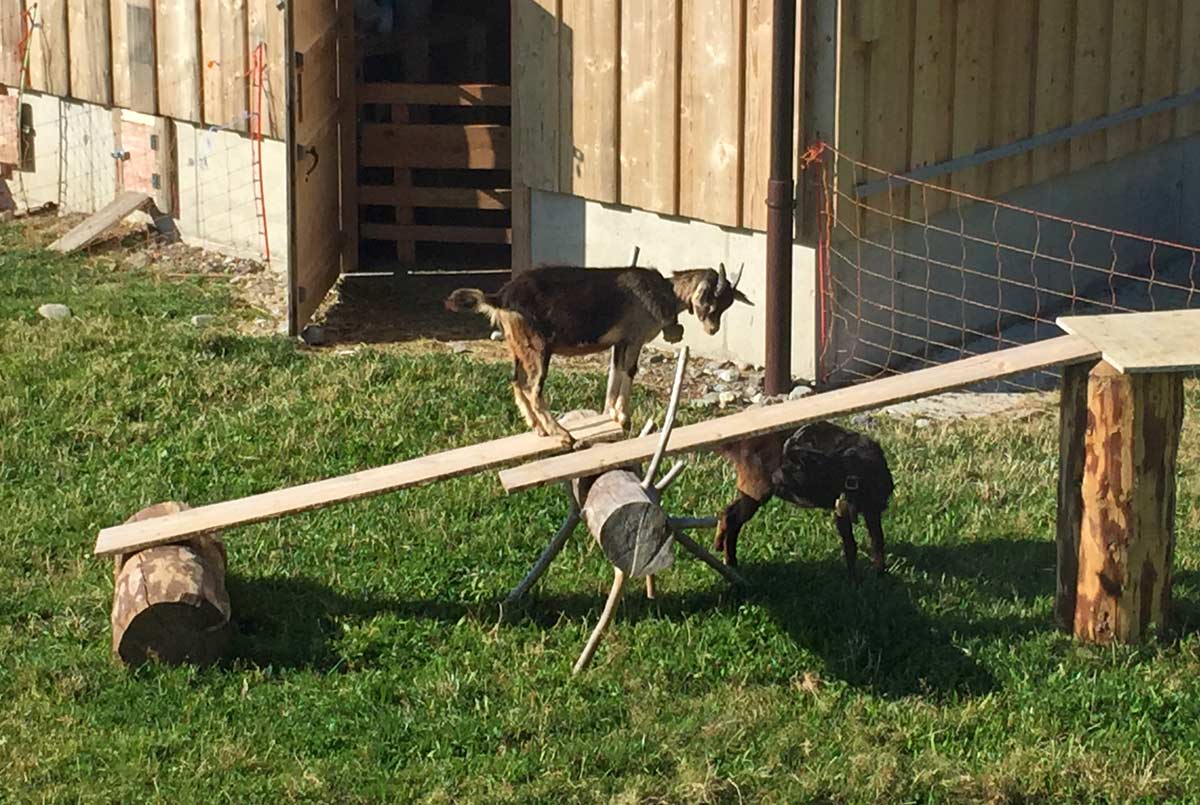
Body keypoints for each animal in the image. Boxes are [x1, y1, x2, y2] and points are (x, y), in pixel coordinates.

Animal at [446, 263, 751, 445]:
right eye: (712, 301)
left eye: (727, 304)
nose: (712, 329)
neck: (662, 293)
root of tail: (499, 297)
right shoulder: (635, 337)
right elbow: (629, 371)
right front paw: (624, 418)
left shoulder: (620, 342)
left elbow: (616, 371)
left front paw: (613, 415)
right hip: (538, 346)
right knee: (533, 388)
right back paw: (562, 435)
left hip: (518, 346)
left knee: (516, 383)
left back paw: (539, 428)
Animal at [713, 421, 894, 580]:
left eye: (795, 466)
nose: (774, 477)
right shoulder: (841, 513)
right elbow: (850, 546)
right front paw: (853, 580)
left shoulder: (872, 511)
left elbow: (877, 541)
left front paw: (880, 575)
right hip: (756, 489)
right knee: (731, 516)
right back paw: (726, 554)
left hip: (752, 492)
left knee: (730, 516)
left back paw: (730, 560)